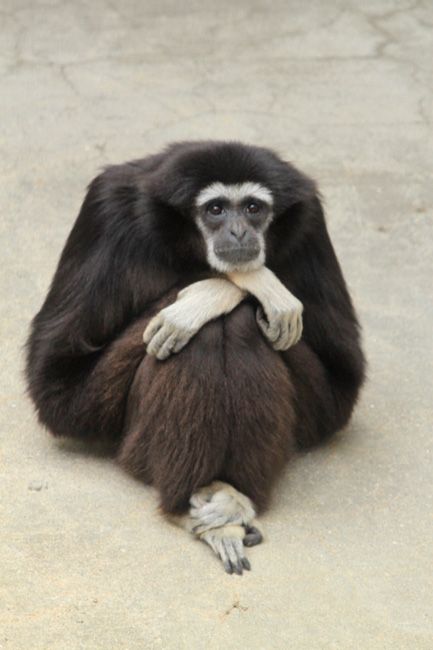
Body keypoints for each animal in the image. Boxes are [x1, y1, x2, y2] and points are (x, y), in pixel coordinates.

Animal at [26, 141, 365, 575]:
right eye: (216, 209)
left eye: (253, 208)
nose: (238, 231)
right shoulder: (105, 212)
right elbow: (56, 380)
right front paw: (239, 285)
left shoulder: (309, 223)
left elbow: (343, 377)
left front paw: (235, 286)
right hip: (128, 441)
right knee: (204, 334)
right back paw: (188, 504)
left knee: (240, 325)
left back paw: (235, 499)